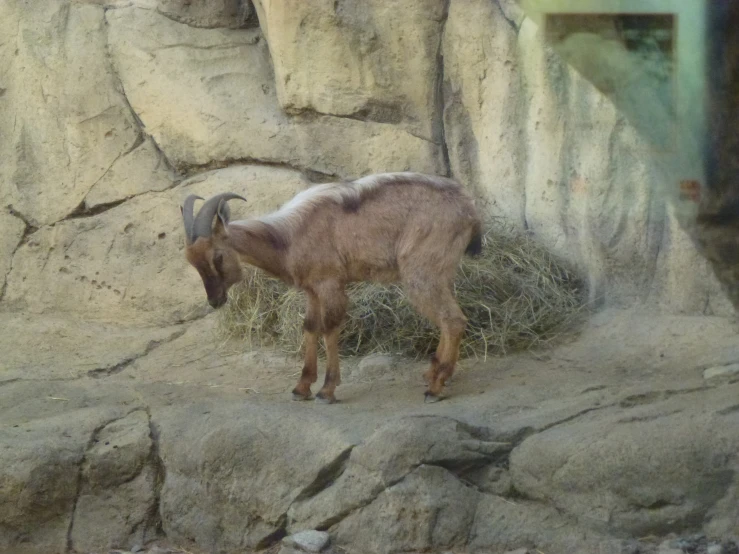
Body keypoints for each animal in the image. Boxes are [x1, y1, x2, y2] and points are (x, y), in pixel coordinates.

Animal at [181, 171, 482, 402]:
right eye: (192, 261)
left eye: (217, 256)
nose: (215, 300)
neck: (289, 237)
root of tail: (469, 209)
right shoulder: (312, 290)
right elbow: (310, 327)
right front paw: (301, 388)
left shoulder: (330, 284)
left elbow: (330, 328)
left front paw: (326, 390)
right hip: (440, 274)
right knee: (448, 318)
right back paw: (434, 374)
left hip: (421, 273)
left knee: (452, 319)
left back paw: (436, 387)